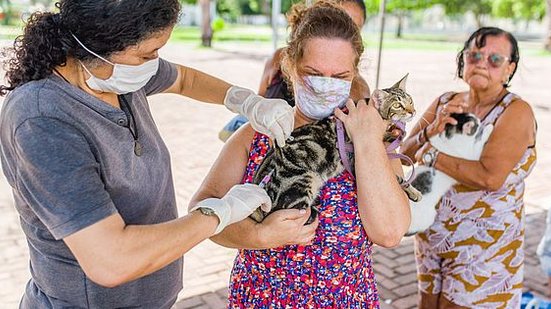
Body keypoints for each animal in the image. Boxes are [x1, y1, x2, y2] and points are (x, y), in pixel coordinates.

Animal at [248, 75, 416, 224]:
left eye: (410, 101)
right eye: (397, 105)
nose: (412, 111)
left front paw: (394, 135)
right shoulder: (355, 161)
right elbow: (399, 179)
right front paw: (414, 192)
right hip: (302, 183)